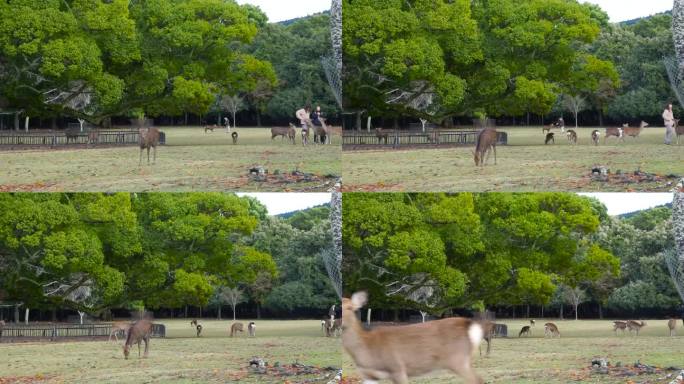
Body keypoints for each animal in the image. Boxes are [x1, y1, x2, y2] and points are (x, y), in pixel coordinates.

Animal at [342, 292, 486, 384]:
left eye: (350, 307)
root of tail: (470, 325)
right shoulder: (369, 375)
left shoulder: (397, 367)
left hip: (457, 359)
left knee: (477, 380)